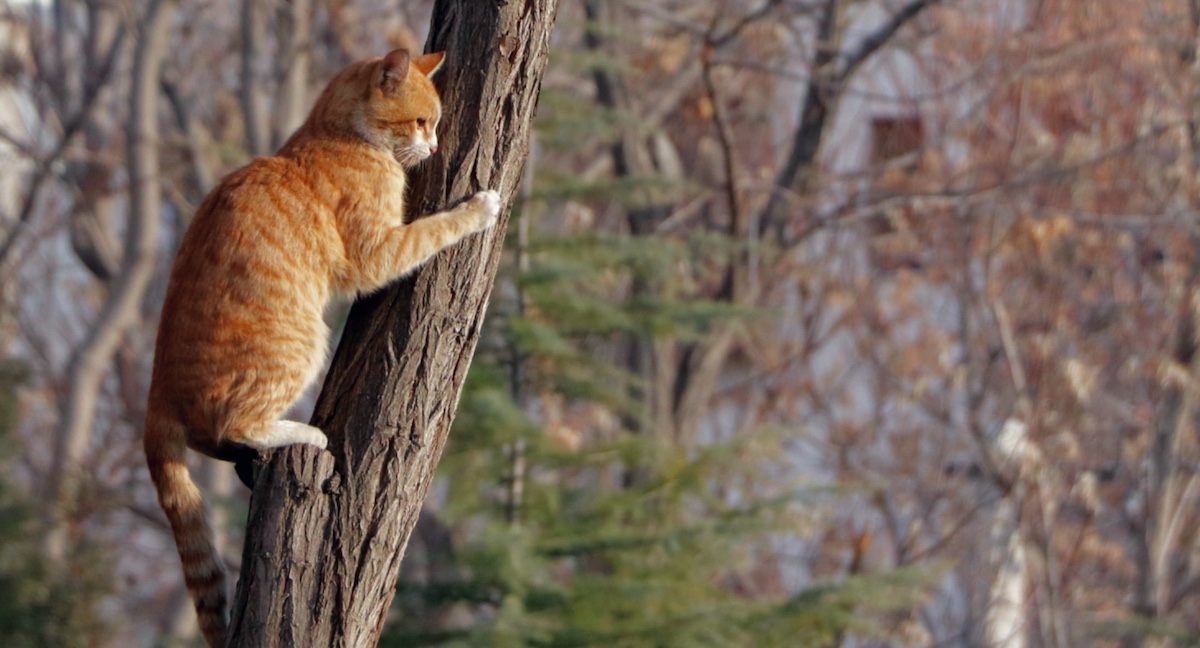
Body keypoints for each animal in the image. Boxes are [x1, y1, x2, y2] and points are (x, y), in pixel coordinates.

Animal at [142, 48, 499, 643]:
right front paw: (480, 207)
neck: (334, 133)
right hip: (304, 344)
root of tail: (156, 395)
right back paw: (305, 433)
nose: (431, 147)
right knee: (238, 425)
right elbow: (436, 228)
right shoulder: (379, 251)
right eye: (421, 121)